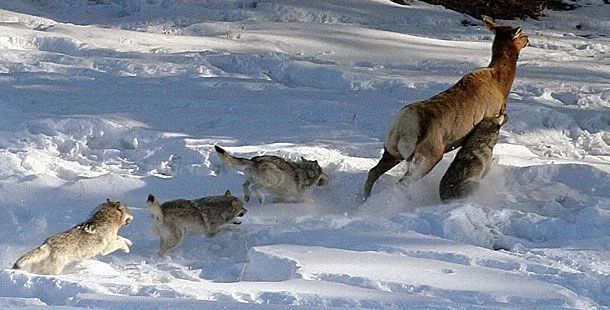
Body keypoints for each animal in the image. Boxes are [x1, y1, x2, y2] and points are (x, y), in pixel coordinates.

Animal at [360, 18, 528, 199]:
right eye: (521, 34)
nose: (528, 39)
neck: (502, 84)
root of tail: (403, 127)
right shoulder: (489, 118)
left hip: (391, 151)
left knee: (373, 172)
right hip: (428, 157)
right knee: (402, 183)